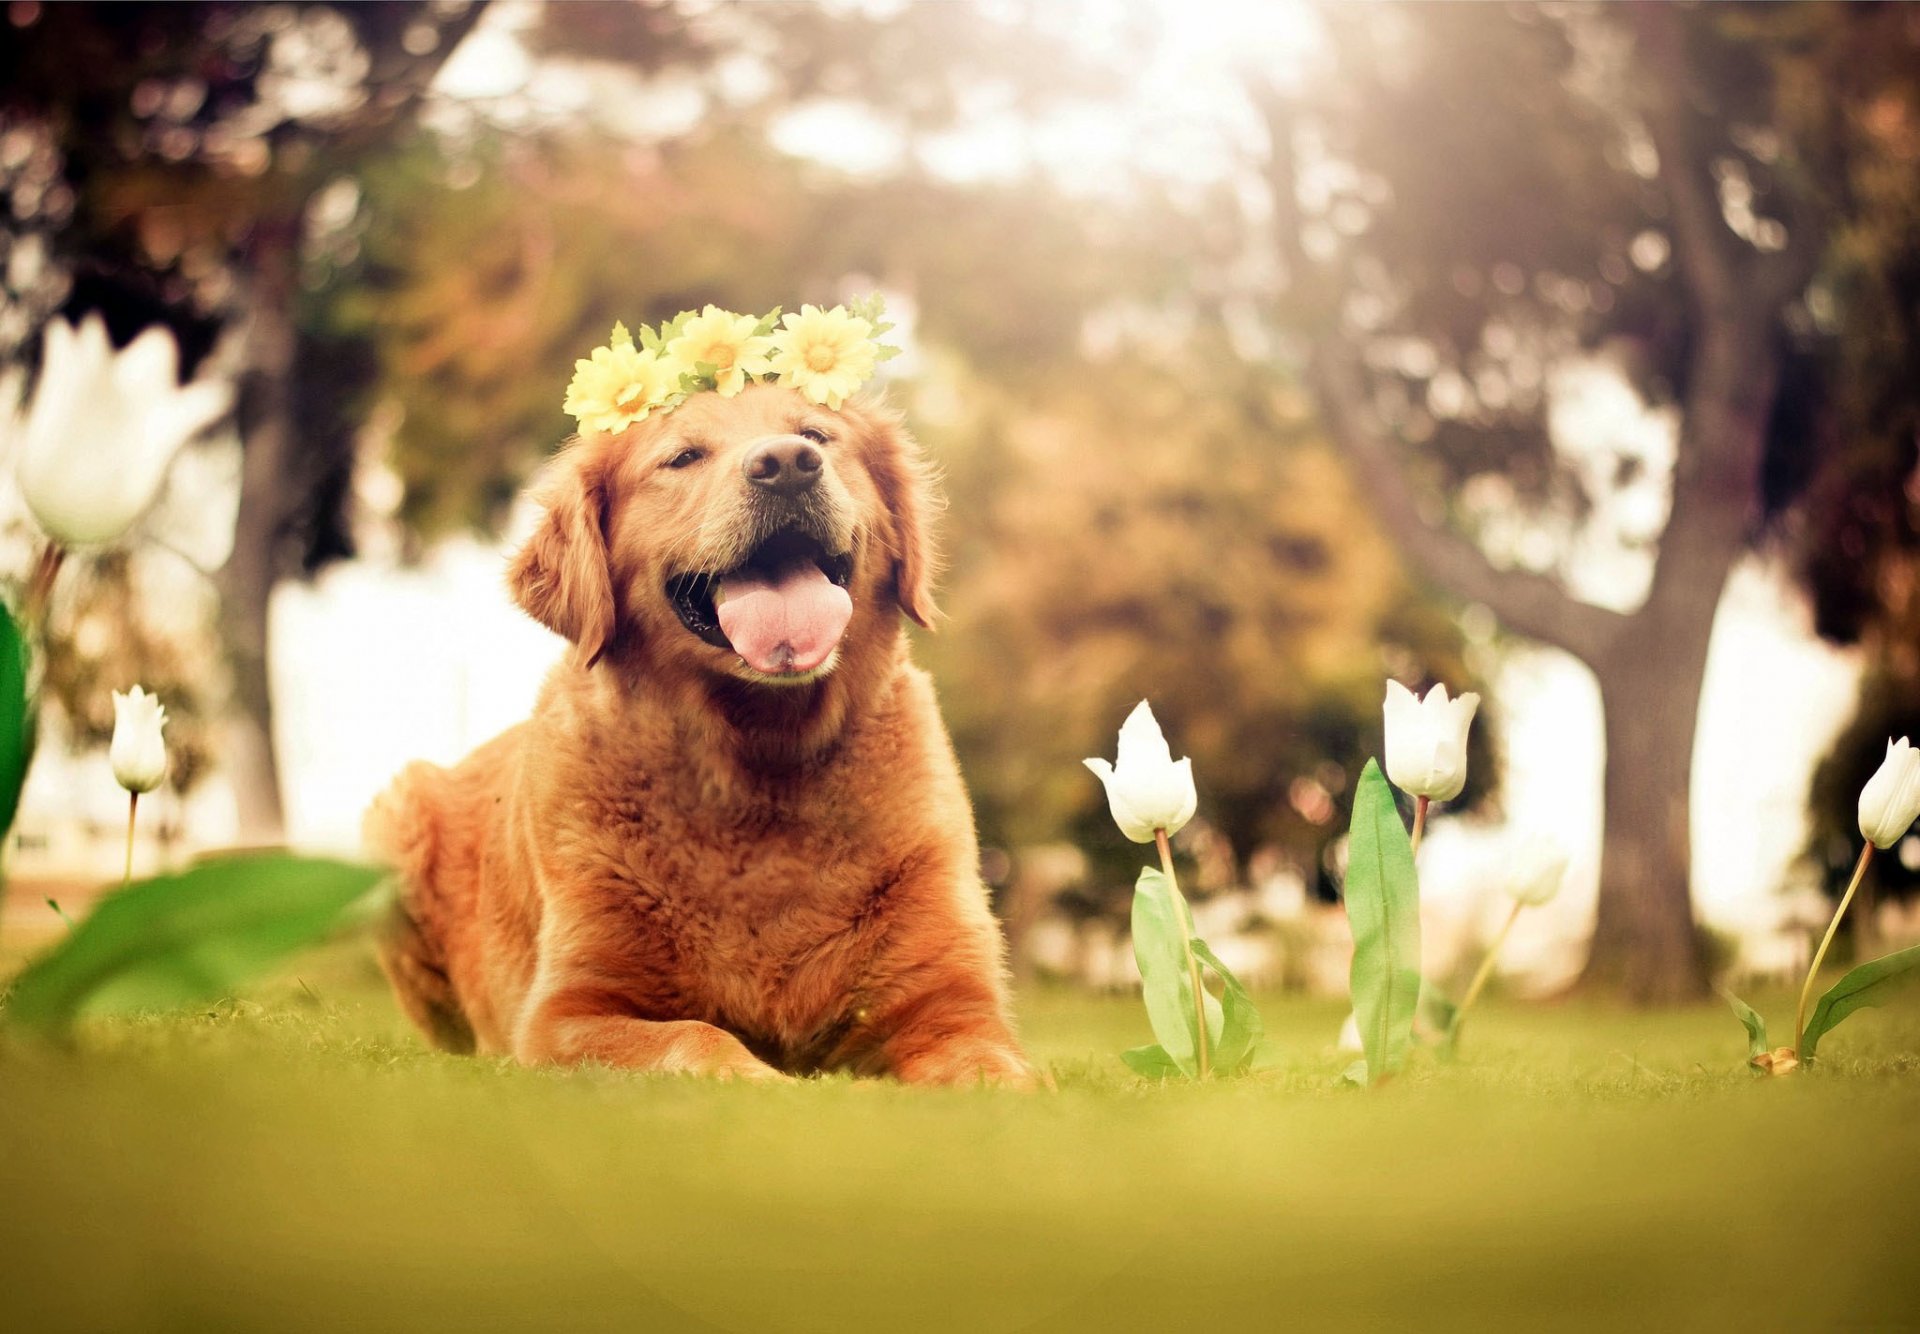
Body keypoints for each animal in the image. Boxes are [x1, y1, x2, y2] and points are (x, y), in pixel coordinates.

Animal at [368, 383, 1044, 1082]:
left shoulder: (954, 1004)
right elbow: (694, 1036)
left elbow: (993, 1068)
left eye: (817, 434)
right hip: (396, 816)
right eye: (684, 456)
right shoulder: (565, 1014)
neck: (759, 764)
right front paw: (767, 1082)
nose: (787, 464)